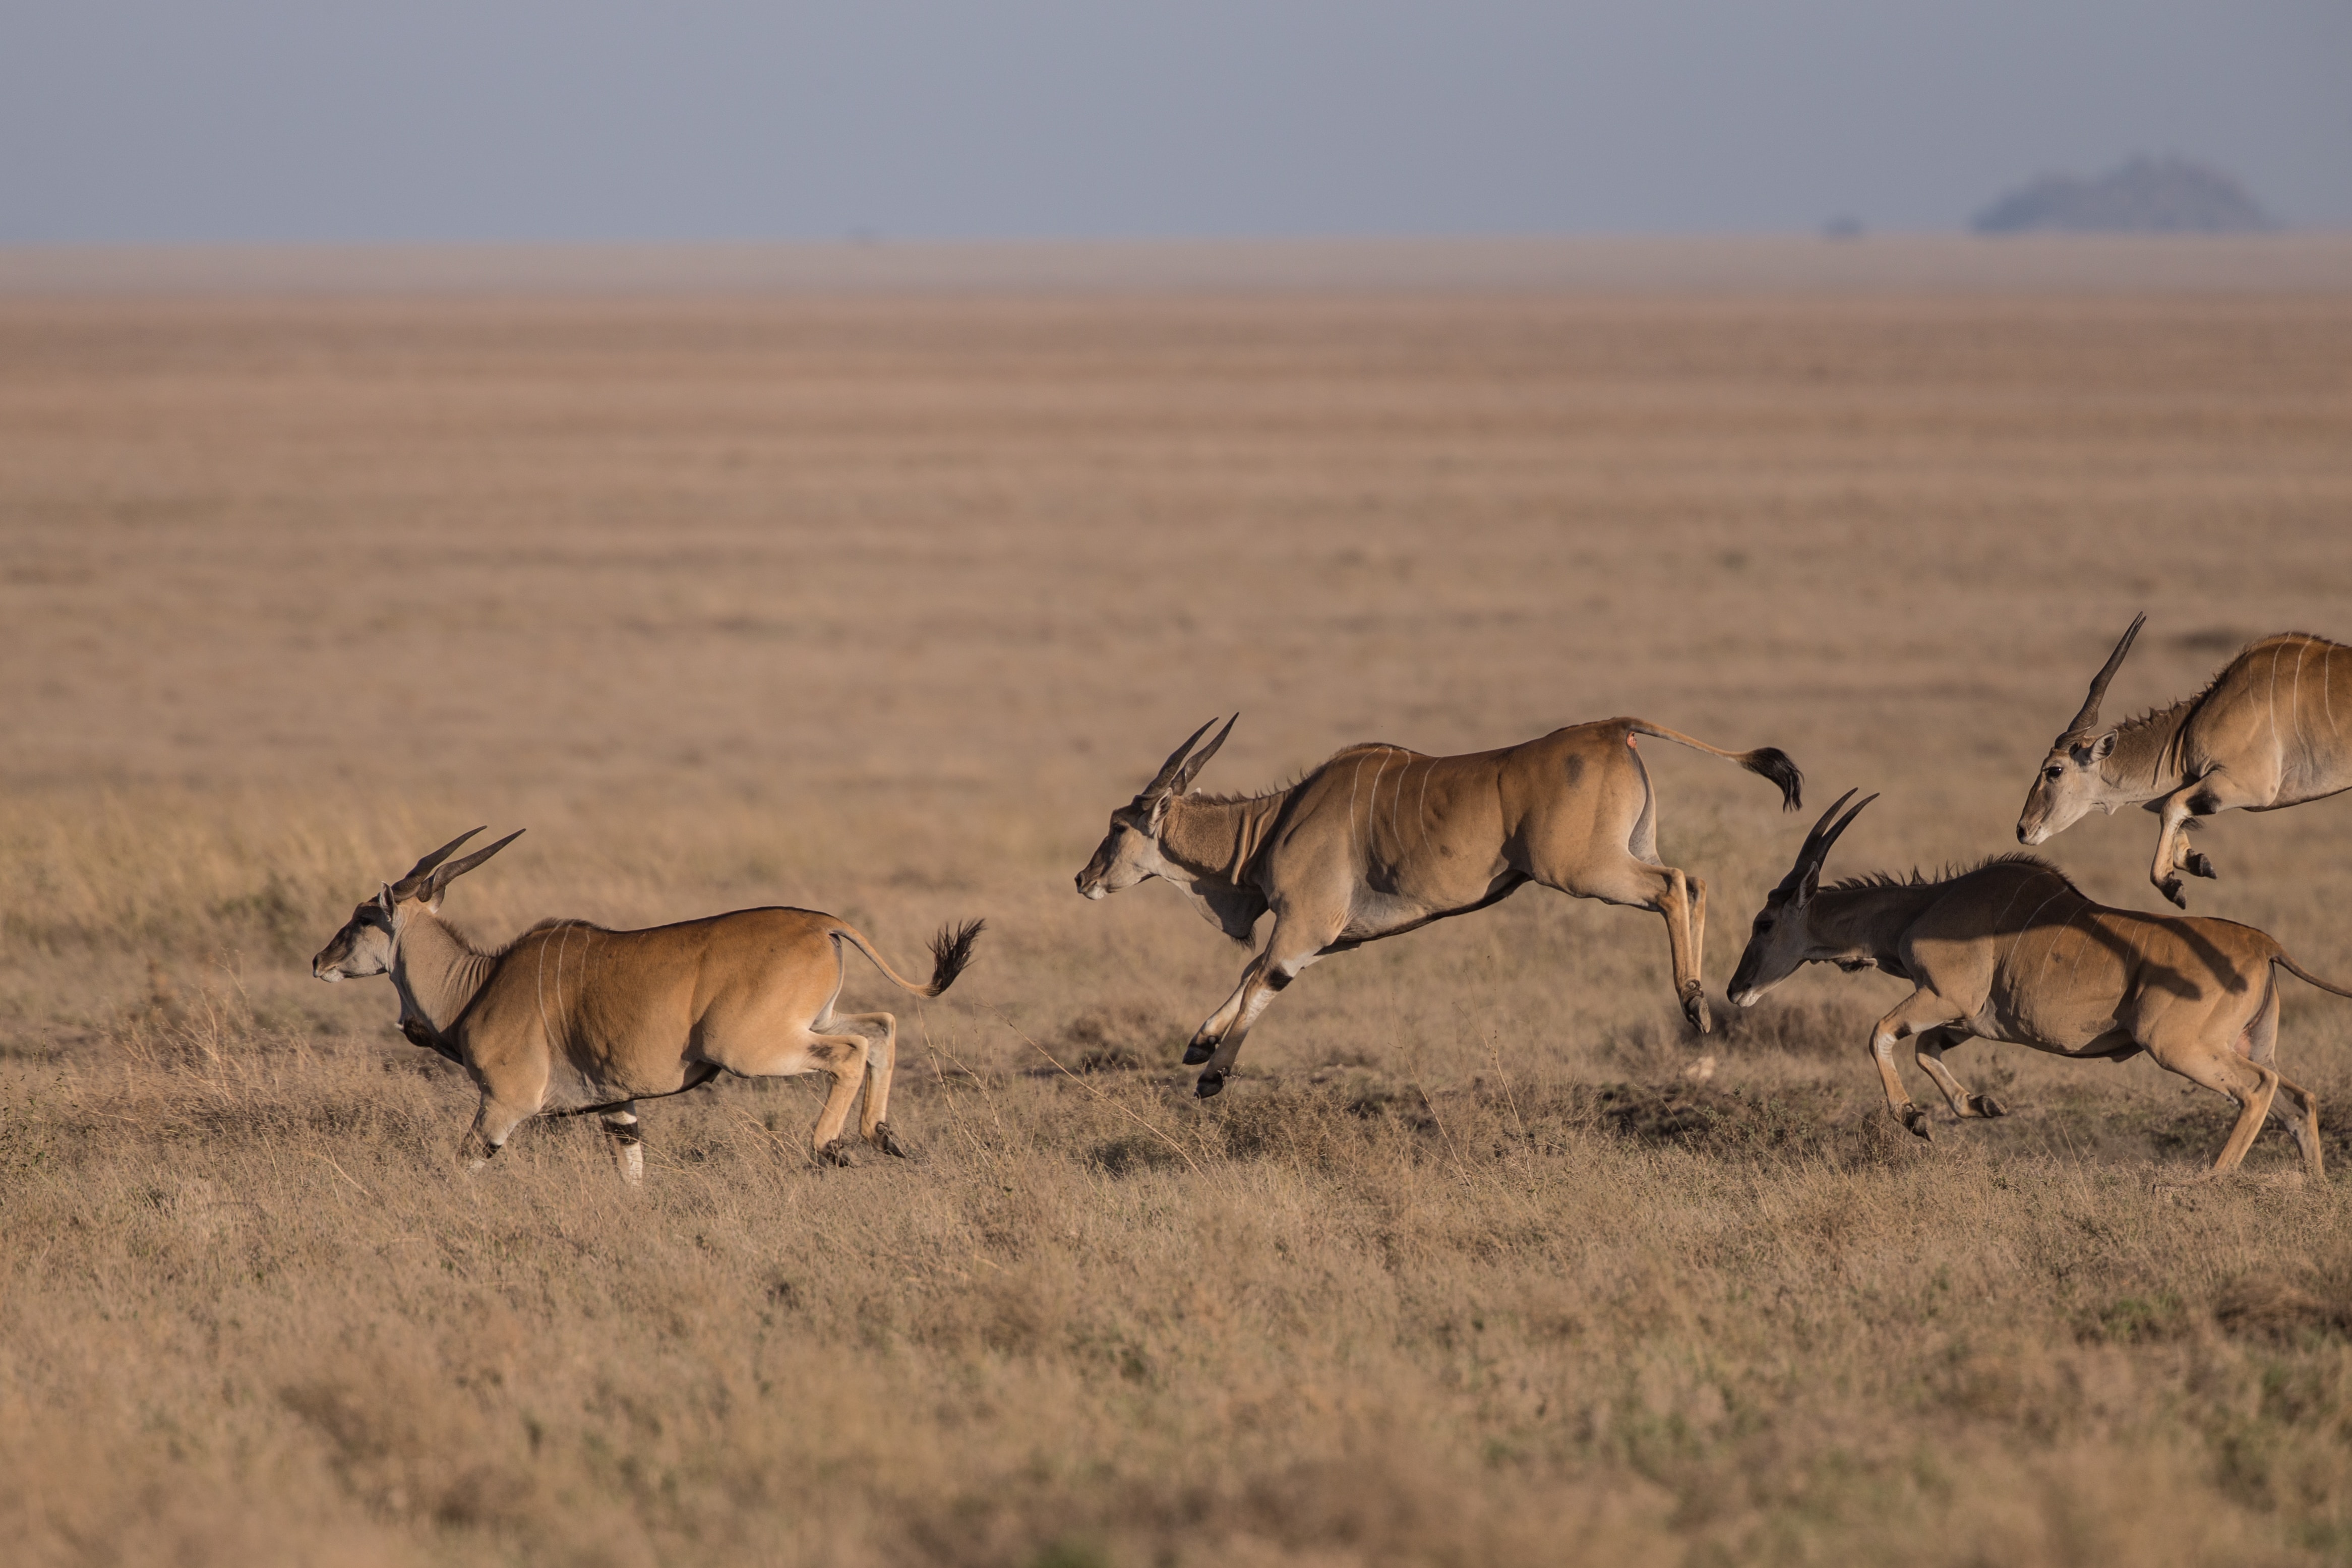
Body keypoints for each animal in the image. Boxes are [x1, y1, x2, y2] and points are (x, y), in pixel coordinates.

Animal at [315, 832, 983, 1175]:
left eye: (364, 915)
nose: (320, 961)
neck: (477, 982)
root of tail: (823, 923)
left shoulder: (504, 1105)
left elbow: (461, 1165)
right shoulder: (619, 1105)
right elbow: (631, 1172)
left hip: (753, 1048)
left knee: (852, 1050)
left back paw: (831, 1146)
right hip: (807, 1023)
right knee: (882, 1026)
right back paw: (882, 1134)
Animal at [1077, 719, 1797, 1100]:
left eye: (1117, 825)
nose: (1084, 878)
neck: (1274, 820)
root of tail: (1614, 729)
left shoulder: (1306, 924)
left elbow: (1262, 980)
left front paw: (1213, 1073)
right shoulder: (1326, 935)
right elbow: (1253, 973)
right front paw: (1198, 1043)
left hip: (1587, 871)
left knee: (1675, 884)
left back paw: (1695, 1003)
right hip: (1624, 854)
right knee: (1693, 879)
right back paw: (1702, 999)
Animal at [1731, 799, 2352, 1175]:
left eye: (1764, 922)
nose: (1737, 989)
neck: (1925, 906)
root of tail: (2263, 943)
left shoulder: (1945, 999)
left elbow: (1881, 1033)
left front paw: (1915, 1117)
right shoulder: (1967, 1018)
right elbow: (1926, 1048)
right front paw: (1980, 1104)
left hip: (2179, 1047)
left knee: (2257, 1088)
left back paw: (2212, 1179)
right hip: (2245, 1043)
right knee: (2297, 1099)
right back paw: (2311, 1186)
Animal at [2013, 611, 2352, 907]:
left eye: (2054, 770)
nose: (2023, 830)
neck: (2193, 723)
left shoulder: (2250, 787)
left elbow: (2171, 806)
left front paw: (2171, 883)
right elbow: (2171, 809)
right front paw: (2196, 861)